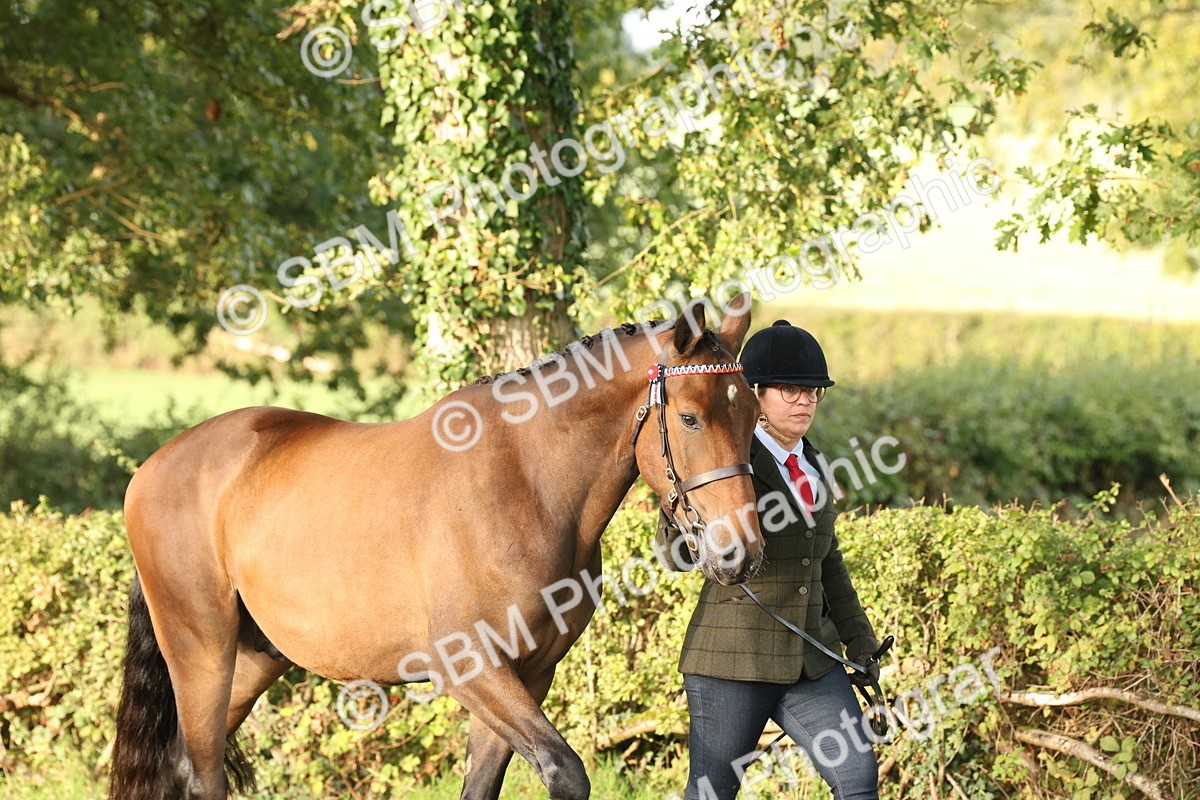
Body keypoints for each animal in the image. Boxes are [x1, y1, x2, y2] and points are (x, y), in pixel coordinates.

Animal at [109, 294, 765, 800]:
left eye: (753, 412)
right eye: (690, 418)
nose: (742, 553)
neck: (524, 484)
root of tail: (151, 469)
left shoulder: (530, 674)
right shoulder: (472, 669)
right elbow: (565, 772)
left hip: (252, 660)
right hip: (201, 654)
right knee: (201, 774)